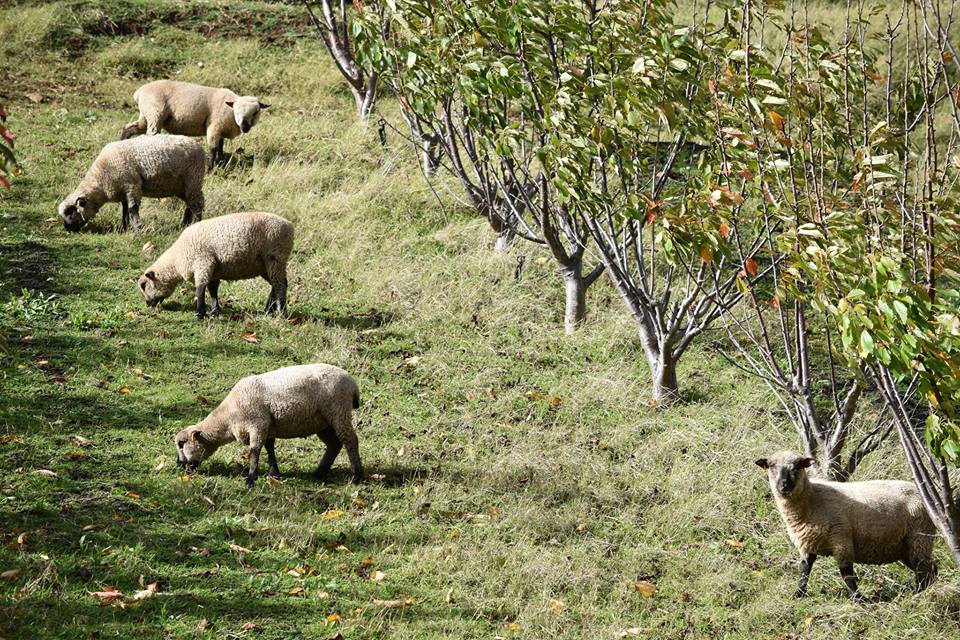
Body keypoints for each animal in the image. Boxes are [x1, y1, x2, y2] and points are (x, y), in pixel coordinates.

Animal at [58, 135, 204, 232]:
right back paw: (184, 224)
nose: (67, 229)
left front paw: (137, 229)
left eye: (70, 213)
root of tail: (198, 146)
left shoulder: (132, 186)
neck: (102, 177)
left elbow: (133, 209)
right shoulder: (123, 191)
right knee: (190, 204)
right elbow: (125, 210)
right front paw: (125, 227)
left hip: (193, 180)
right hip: (182, 187)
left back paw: (195, 223)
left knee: (197, 204)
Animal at [122, 79, 270, 168]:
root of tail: (139, 92)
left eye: (256, 112)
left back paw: (121, 142)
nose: (245, 127)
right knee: (150, 136)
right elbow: (213, 148)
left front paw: (221, 163)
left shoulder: (220, 130)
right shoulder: (214, 127)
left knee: (129, 127)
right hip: (155, 114)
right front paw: (210, 167)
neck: (229, 110)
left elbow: (221, 147)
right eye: (236, 110)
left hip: (146, 115)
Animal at [137, 211, 290, 318]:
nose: (147, 304)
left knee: (281, 284)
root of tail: (289, 225)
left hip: (275, 257)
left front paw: (200, 313)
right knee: (275, 284)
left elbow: (200, 288)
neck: (177, 260)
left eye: (144, 285)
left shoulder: (203, 263)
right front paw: (215, 311)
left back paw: (282, 313)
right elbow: (213, 290)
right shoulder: (214, 269)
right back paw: (268, 310)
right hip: (265, 265)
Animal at [172, 362, 364, 488]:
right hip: (323, 422)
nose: (179, 464)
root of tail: (352, 383)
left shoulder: (258, 423)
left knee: (350, 440)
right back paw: (319, 472)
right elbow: (269, 448)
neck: (228, 418)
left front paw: (251, 479)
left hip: (338, 410)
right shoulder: (268, 426)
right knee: (334, 444)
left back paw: (356, 477)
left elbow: (255, 450)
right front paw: (274, 473)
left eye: (182, 444)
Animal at [752, 450, 932, 600]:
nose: (784, 485)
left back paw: (920, 593)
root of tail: (920, 490)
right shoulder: (807, 543)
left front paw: (857, 598)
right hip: (905, 546)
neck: (812, 499)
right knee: (929, 569)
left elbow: (846, 573)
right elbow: (804, 570)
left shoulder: (841, 540)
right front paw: (798, 594)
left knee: (924, 569)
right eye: (772, 466)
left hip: (919, 538)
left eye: (798, 466)